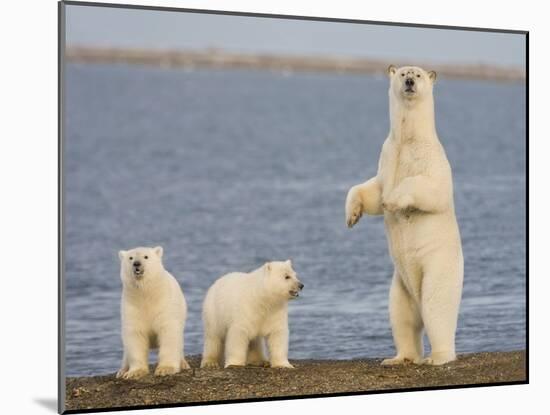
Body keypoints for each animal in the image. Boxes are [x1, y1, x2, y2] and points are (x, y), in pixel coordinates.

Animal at [115, 247, 191, 380]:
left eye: (146, 257)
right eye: (131, 258)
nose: (136, 264)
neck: (147, 294)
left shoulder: (165, 305)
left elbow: (168, 332)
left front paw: (166, 369)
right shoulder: (132, 308)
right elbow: (135, 335)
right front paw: (134, 372)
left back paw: (183, 363)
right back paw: (122, 371)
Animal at [350, 66, 466, 368]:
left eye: (419, 75)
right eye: (403, 73)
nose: (410, 82)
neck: (407, 139)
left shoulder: (432, 160)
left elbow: (431, 190)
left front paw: (393, 201)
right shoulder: (387, 155)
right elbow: (371, 190)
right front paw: (352, 214)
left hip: (438, 269)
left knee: (436, 308)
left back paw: (437, 357)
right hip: (400, 285)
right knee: (401, 316)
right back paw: (398, 357)